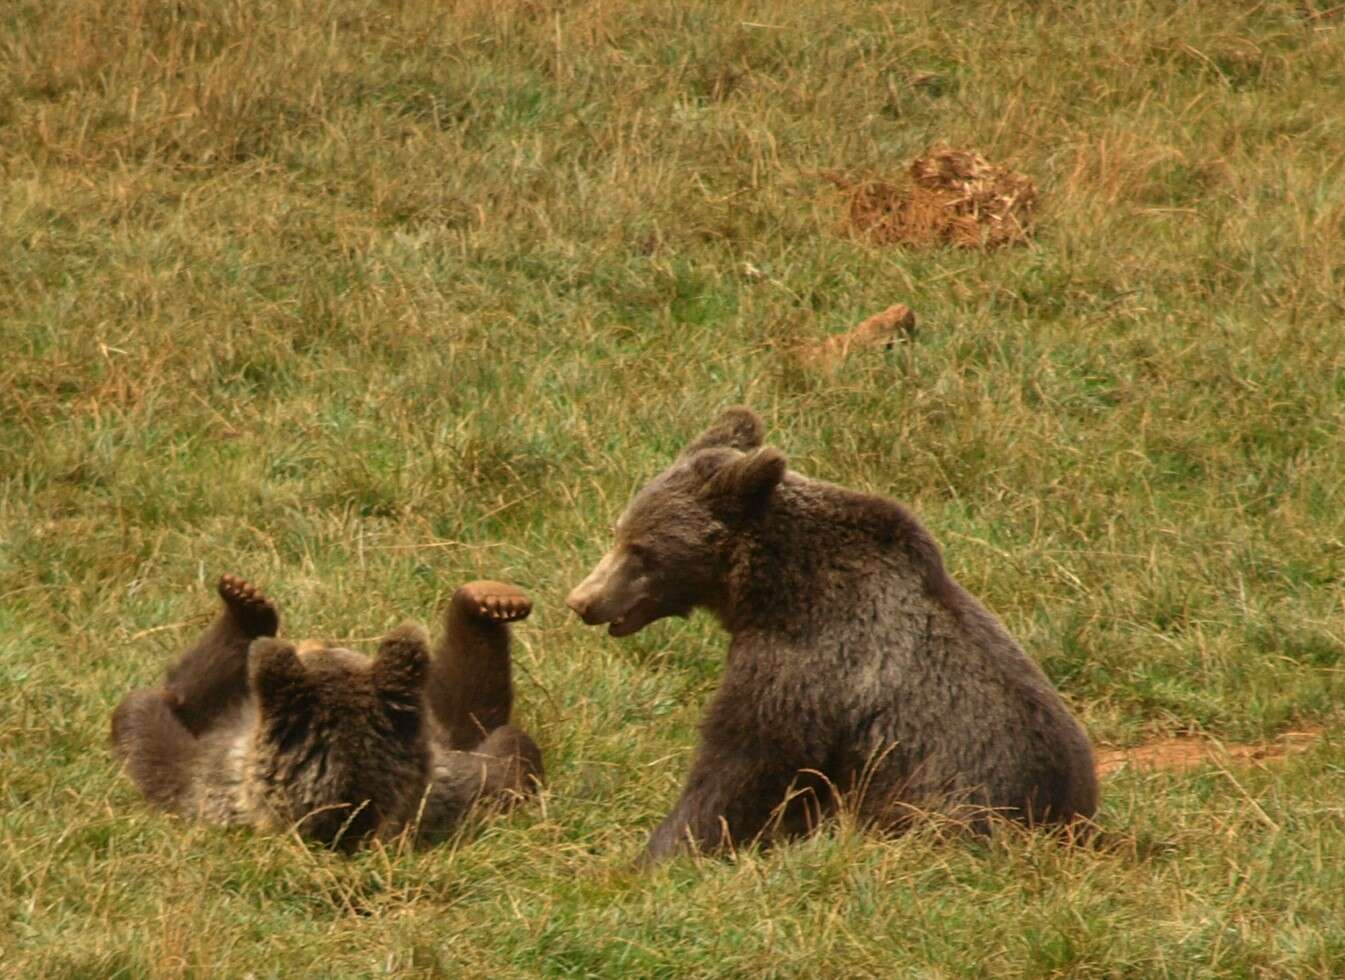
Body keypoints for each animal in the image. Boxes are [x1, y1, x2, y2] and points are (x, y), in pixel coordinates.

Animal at [562, 408, 1097, 860]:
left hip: (949, 802)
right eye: (618, 531)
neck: (771, 589)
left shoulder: (809, 663)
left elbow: (742, 762)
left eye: (641, 549)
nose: (582, 600)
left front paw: (663, 851)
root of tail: (1073, 824)